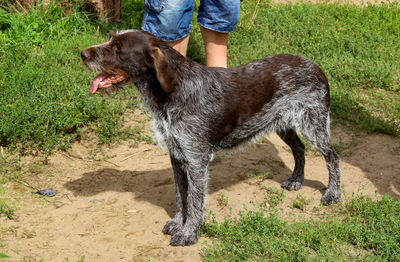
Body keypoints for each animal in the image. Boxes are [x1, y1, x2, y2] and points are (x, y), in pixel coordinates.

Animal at [80, 30, 340, 246]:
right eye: (110, 39)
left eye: (117, 47)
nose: (82, 54)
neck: (173, 93)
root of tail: (315, 66)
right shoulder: (177, 156)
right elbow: (180, 196)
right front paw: (178, 222)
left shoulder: (196, 160)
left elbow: (195, 202)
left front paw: (188, 233)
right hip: (283, 124)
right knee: (299, 149)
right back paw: (296, 179)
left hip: (313, 124)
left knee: (332, 156)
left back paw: (333, 193)